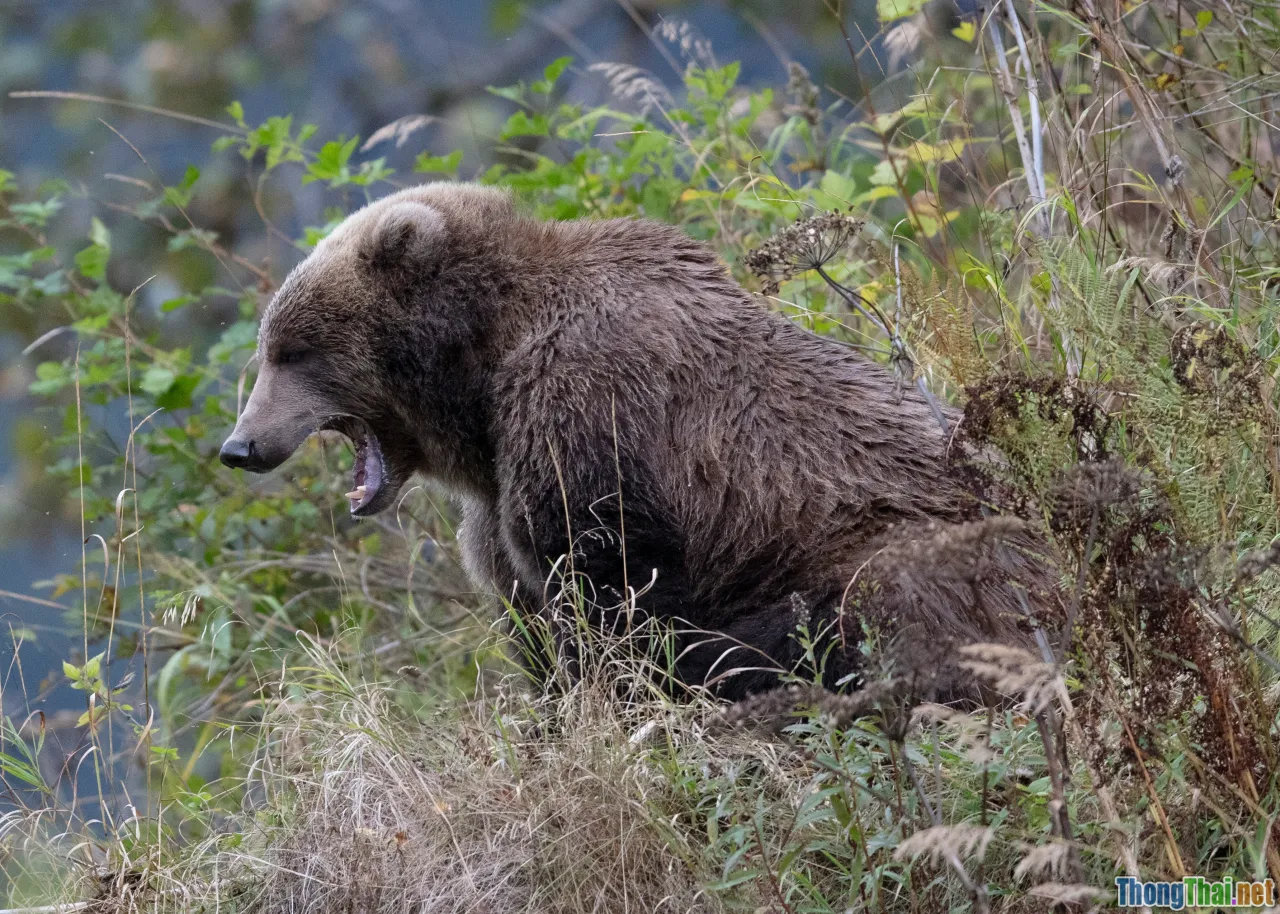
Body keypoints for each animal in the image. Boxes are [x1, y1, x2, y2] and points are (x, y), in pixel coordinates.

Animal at [220, 183, 1056, 700]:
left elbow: (611, 591)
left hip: (903, 545)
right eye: (270, 346)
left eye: (292, 351)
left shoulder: (587, 412)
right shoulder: (501, 500)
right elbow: (531, 614)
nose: (240, 446)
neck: (481, 384)